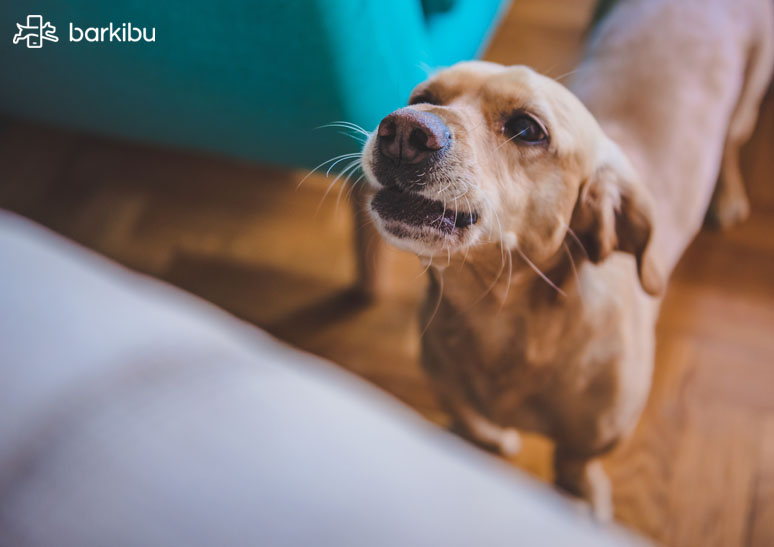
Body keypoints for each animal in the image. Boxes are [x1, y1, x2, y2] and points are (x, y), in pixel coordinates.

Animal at [358, 0, 774, 520]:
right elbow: (476, 427)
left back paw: (728, 195)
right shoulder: (454, 396)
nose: (402, 130)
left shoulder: (591, 443)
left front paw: (585, 501)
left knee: (734, 142)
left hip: (748, 100)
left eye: (527, 129)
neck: (498, 317)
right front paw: (488, 442)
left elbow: (576, 468)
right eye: (422, 95)